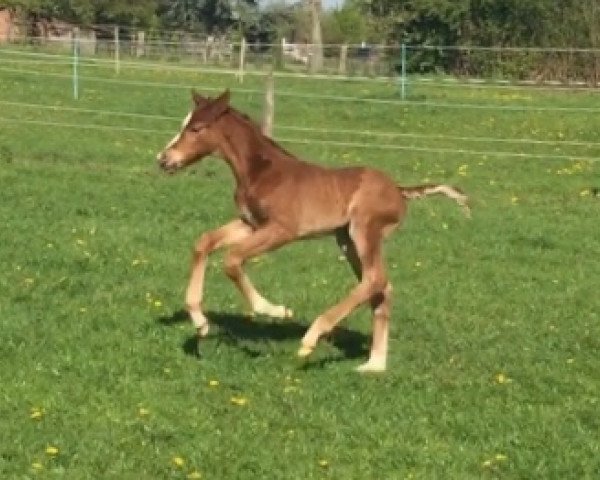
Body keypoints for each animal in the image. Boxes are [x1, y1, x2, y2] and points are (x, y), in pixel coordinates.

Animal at [156, 90, 468, 374]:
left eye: (195, 128)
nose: (163, 159)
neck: (262, 172)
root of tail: (400, 191)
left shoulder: (282, 230)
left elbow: (232, 260)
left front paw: (276, 311)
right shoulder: (251, 224)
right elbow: (204, 243)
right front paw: (201, 323)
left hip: (364, 230)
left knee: (375, 279)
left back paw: (311, 339)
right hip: (346, 239)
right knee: (381, 287)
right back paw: (374, 364)